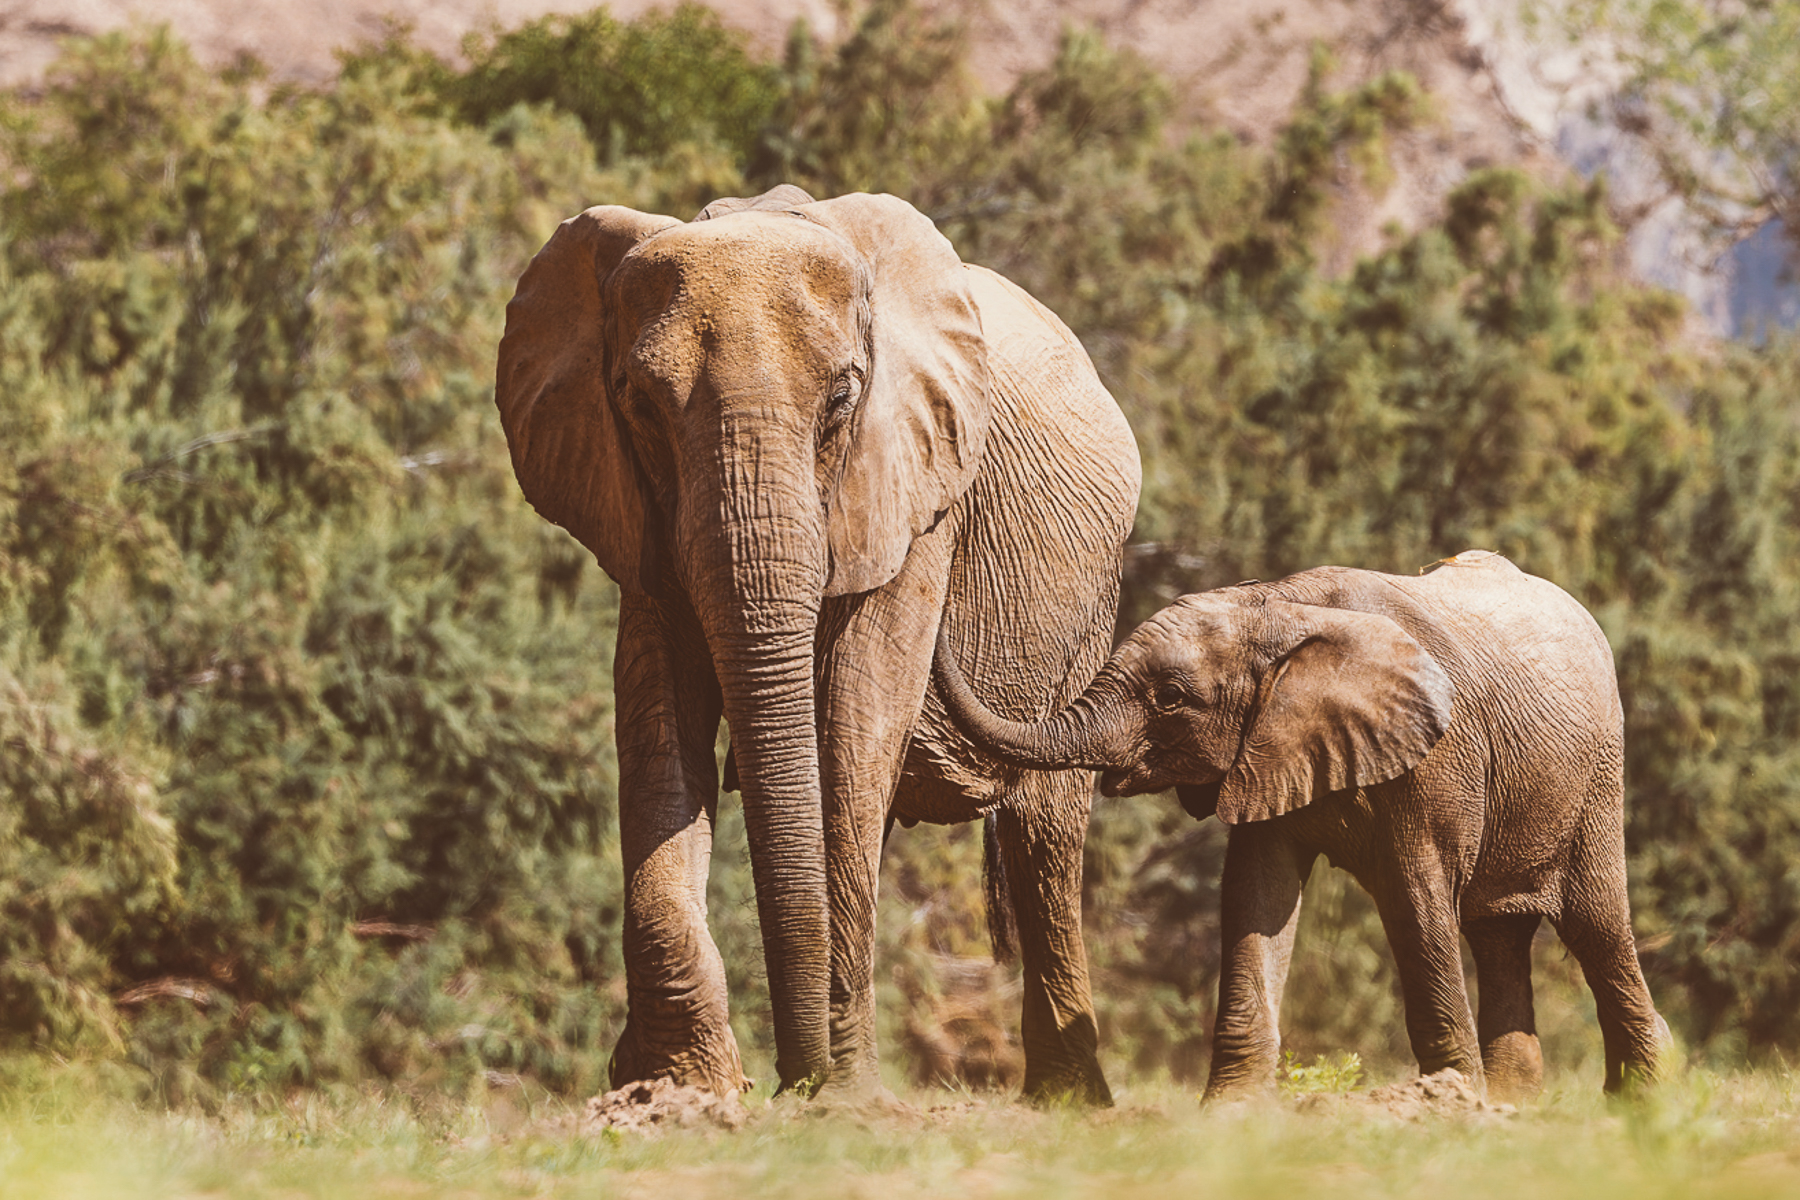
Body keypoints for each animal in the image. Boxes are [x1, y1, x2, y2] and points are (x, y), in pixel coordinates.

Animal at [494, 185, 1139, 1102]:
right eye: (637, 403)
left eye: (843, 397)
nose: (787, 1084)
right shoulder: (636, 509)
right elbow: (657, 730)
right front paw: (678, 1085)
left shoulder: (915, 489)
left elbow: (852, 731)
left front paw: (842, 1097)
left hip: (1091, 599)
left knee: (1044, 831)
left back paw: (1069, 1099)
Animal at [934, 549, 1671, 1101]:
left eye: (1170, 698)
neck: (1282, 609)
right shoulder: (1266, 752)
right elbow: (1255, 894)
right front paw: (1229, 1112)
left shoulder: (1437, 757)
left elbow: (1417, 903)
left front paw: (1452, 1106)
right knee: (1501, 933)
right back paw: (1522, 1106)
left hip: (1598, 773)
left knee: (1596, 923)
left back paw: (1640, 1099)